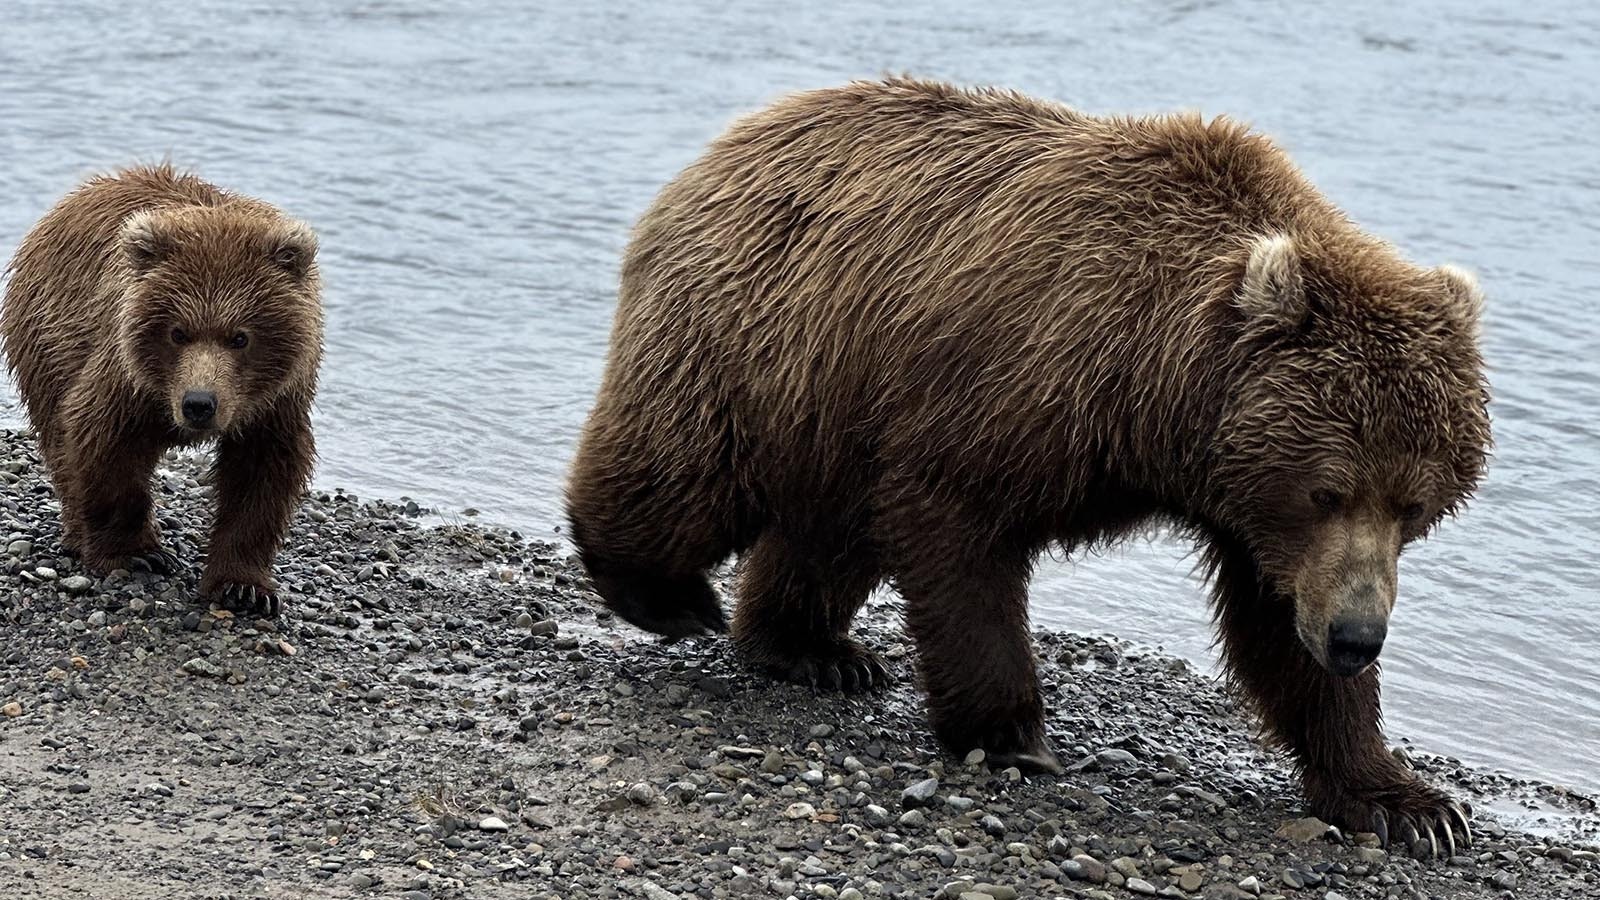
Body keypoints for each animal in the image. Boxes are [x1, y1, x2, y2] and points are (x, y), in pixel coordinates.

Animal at [3, 160, 324, 611]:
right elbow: (104, 442)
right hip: (47, 339)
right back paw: (78, 533)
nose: (199, 403)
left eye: (240, 337)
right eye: (178, 332)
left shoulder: (274, 401)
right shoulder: (125, 376)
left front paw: (243, 586)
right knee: (59, 441)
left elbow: (262, 474)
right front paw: (136, 553)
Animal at [569, 78, 1491, 851]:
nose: (1358, 637)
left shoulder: (1250, 510)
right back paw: (668, 594)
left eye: (1414, 504)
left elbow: (1278, 628)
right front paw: (1012, 734)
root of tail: (735, 138)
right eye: (1328, 489)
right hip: (758, 336)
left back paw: (814, 649)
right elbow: (961, 540)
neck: (1161, 395)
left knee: (826, 531)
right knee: (683, 473)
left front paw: (1410, 805)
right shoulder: (1020, 380)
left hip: (837, 407)